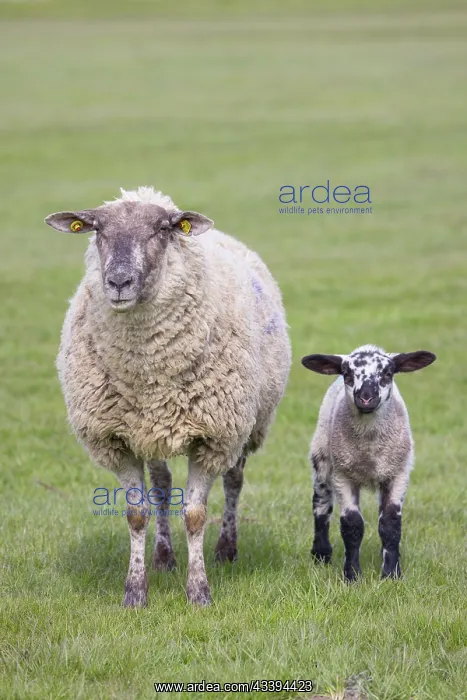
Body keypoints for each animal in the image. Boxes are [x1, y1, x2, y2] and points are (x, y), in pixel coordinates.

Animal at [45, 186, 291, 607]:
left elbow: (195, 516)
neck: (148, 372)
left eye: (162, 228)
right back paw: (163, 557)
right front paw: (135, 592)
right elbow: (136, 514)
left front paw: (199, 592)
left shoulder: (213, 436)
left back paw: (226, 549)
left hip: (248, 424)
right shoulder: (116, 439)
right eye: (97, 229)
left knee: (234, 481)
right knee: (161, 486)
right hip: (152, 431)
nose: (119, 281)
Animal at [301, 345, 436, 581]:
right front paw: (352, 576)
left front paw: (391, 574)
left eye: (388, 374)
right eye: (347, 374)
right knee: (321, 503)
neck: (370, 449)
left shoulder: (398, 473)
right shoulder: (343, 475)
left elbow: (390, 524)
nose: (365, 398)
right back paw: (321, 553)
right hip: (322, 456)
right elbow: (352, 524)